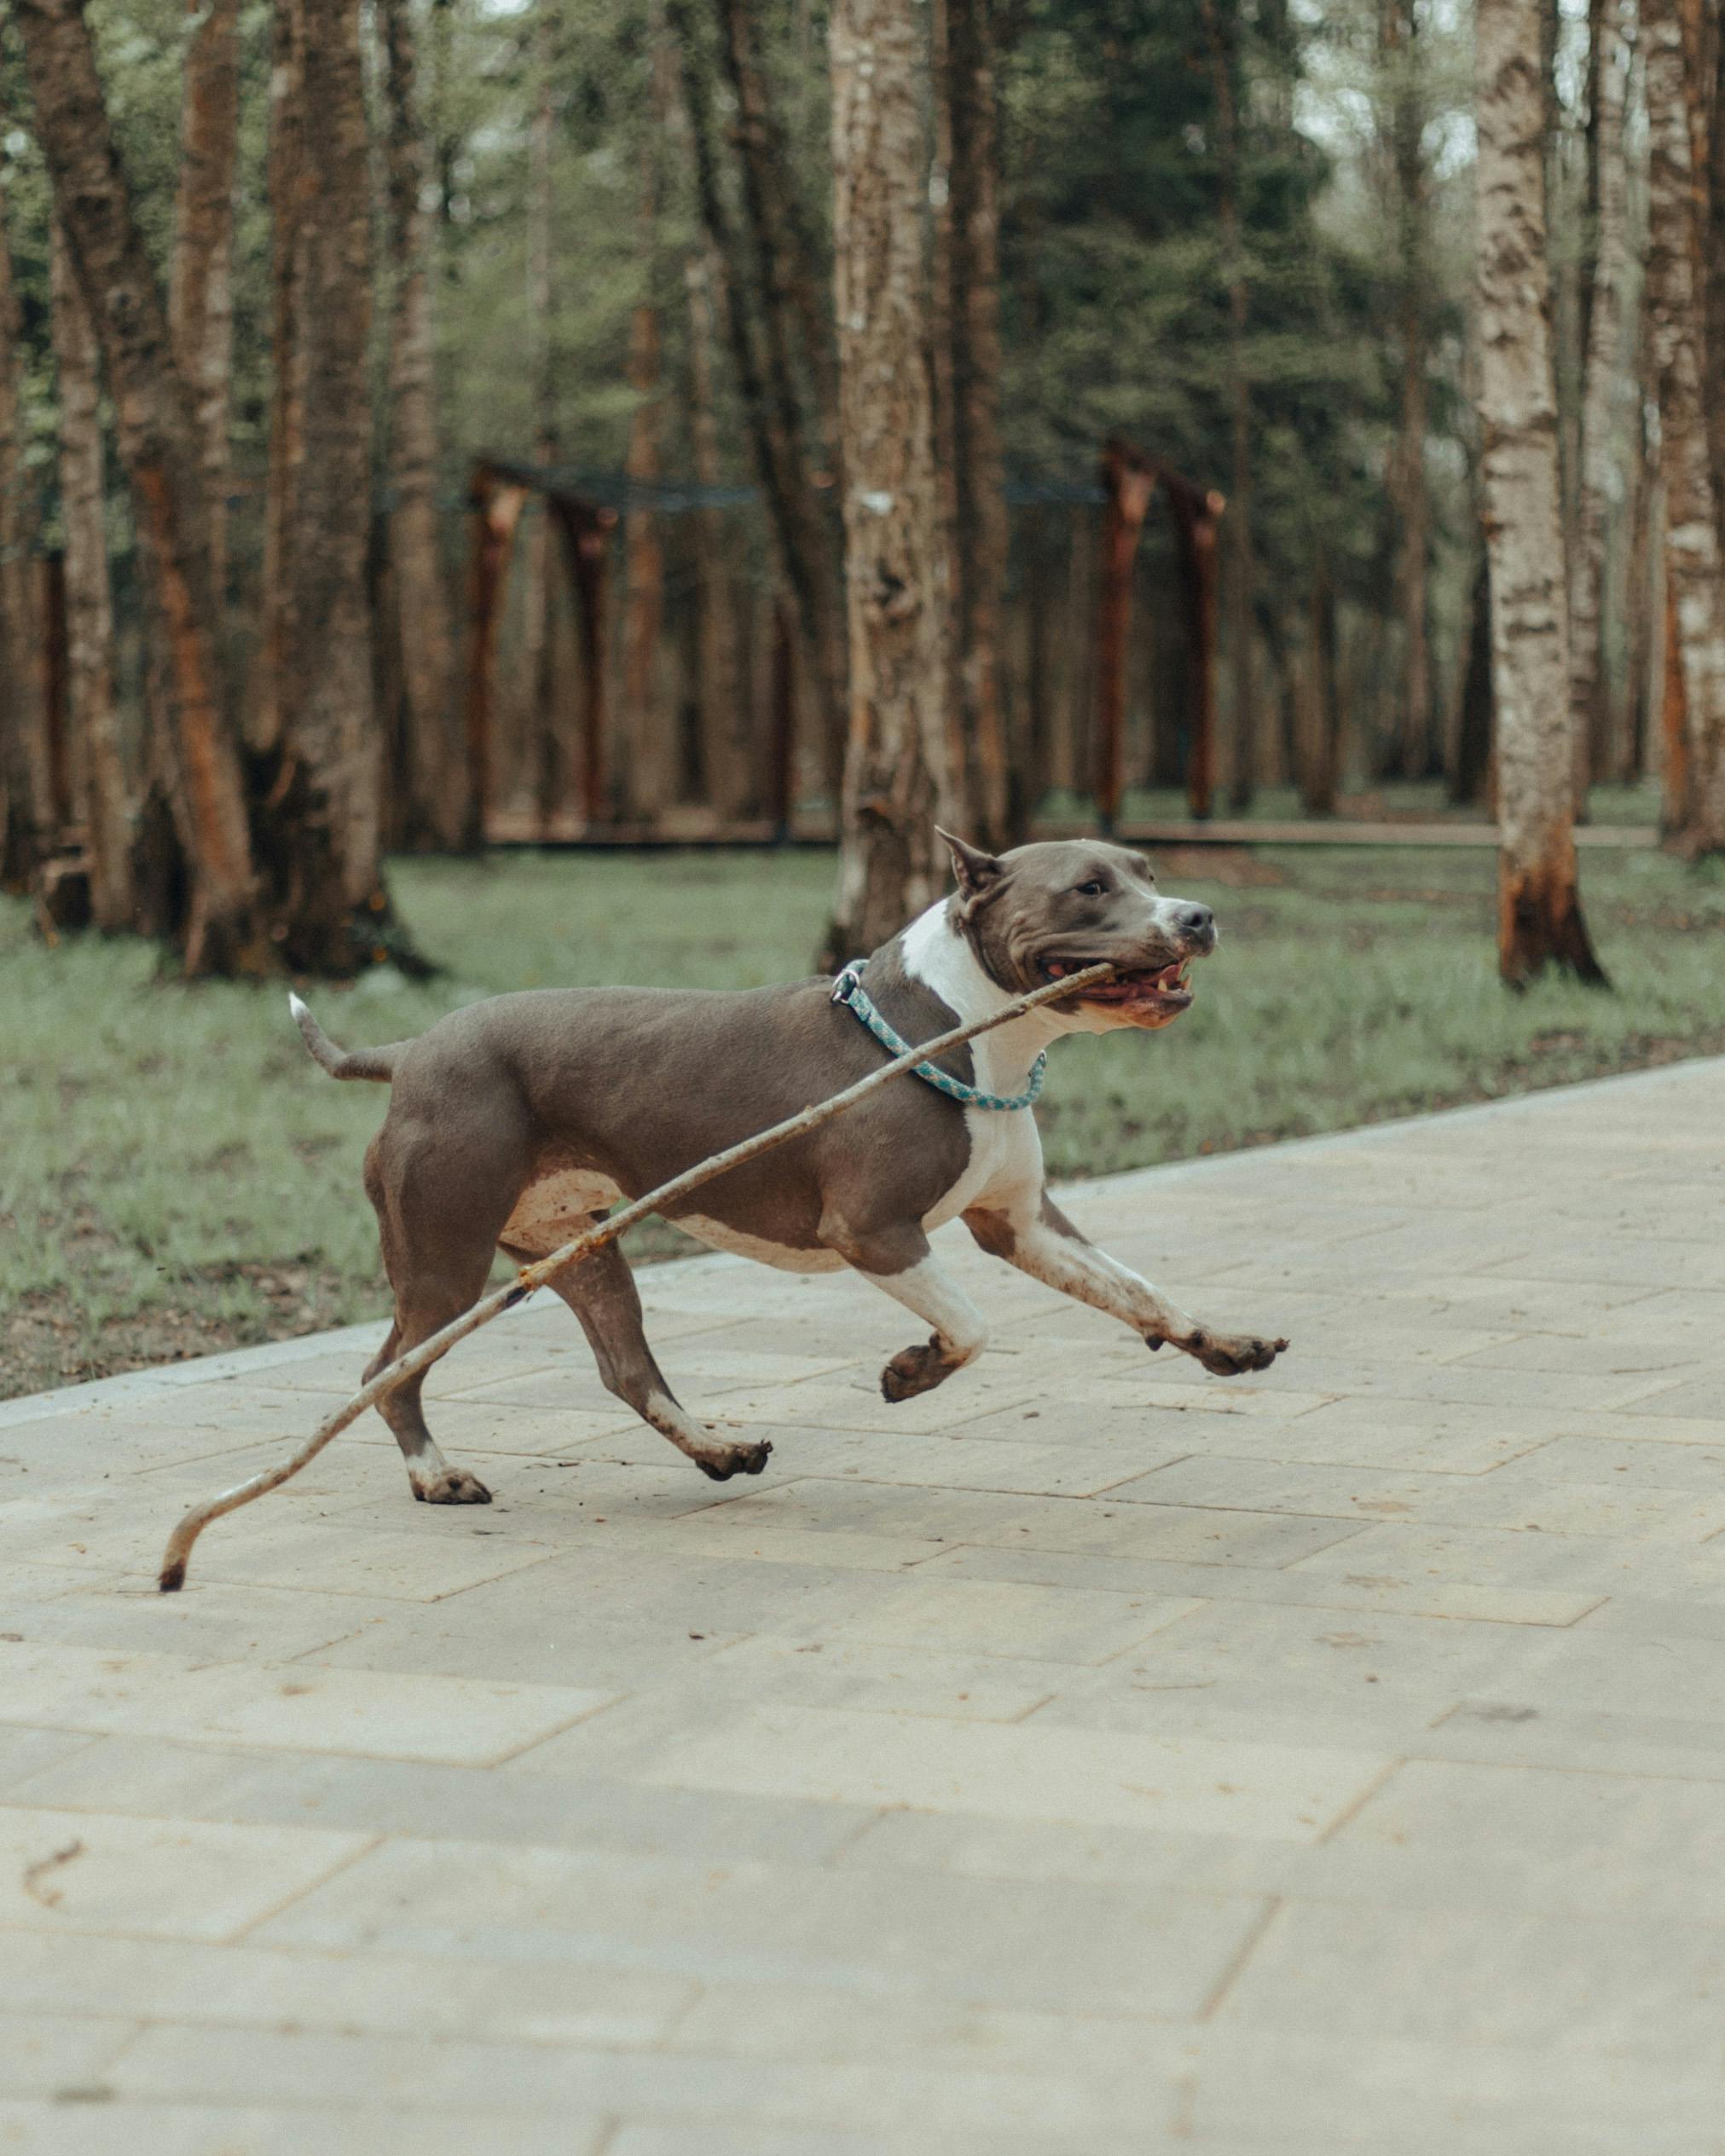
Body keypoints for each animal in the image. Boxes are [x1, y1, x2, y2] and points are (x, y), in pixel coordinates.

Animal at [297, 832, 1285, 1509]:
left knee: (626, 1366)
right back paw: (436, 1475)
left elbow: (1138, 1287)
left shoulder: (1024, 1222)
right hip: (445, 1256)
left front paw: (1220, 1342)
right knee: (387, 1368)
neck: (963, 1028)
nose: (1196, 916)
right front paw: (912, 1371)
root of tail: (409, 1051)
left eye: (1146, 871)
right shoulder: (874, 1230)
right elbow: (971, 1326)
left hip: (580, 1250)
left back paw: (716, 1451)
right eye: (1088, 887)